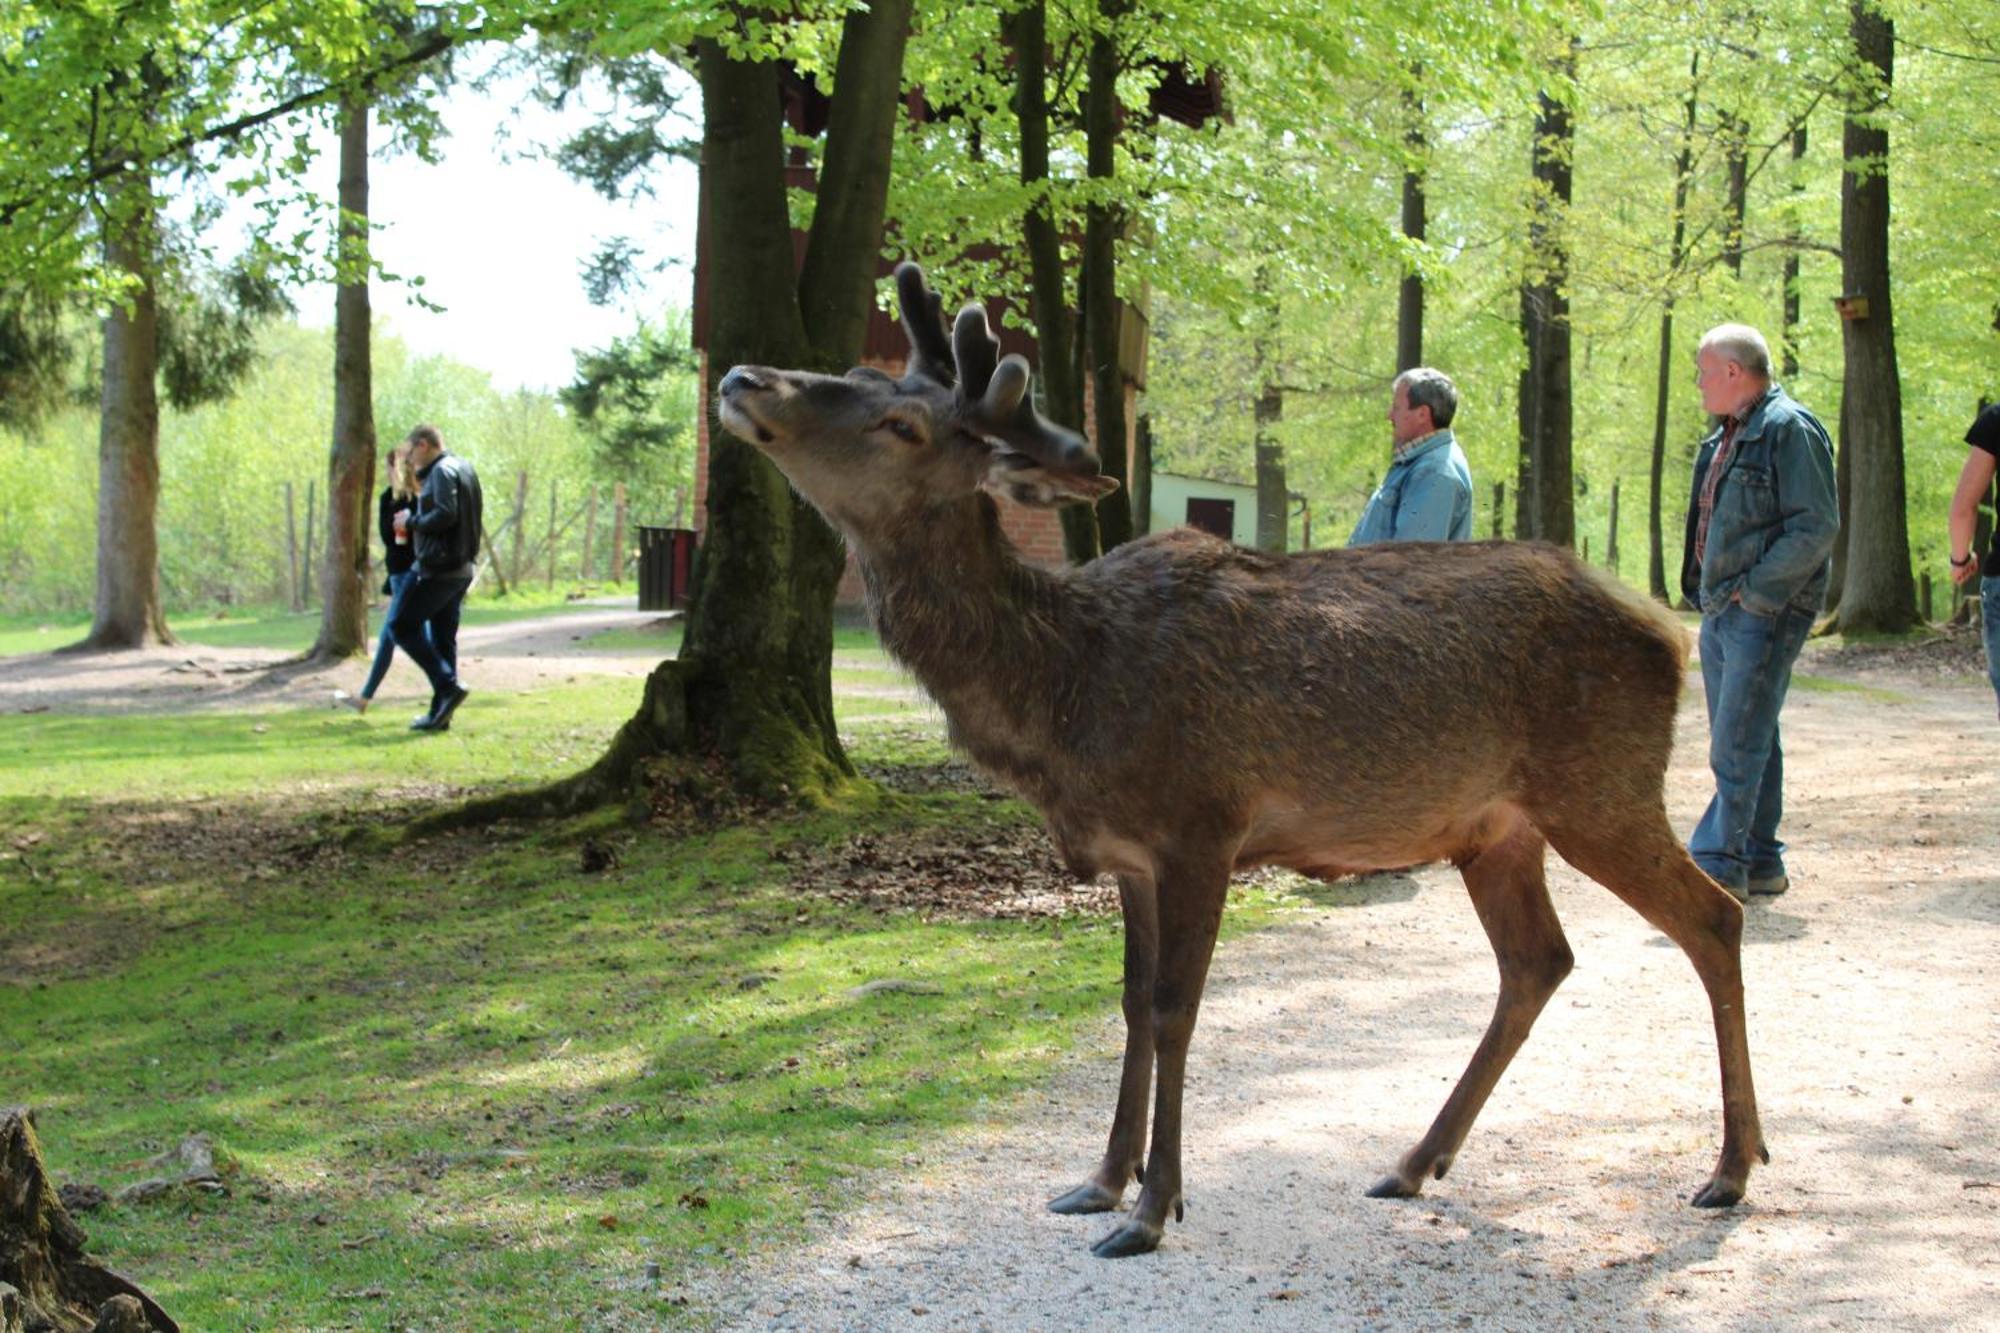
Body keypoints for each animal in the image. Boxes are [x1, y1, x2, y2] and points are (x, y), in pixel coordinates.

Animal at [720, 262, 1768, 1256]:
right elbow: (1131, 1003)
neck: (1065, 696)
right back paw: (1414, 1161)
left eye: (901, 422)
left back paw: (1734, 1165)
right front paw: (1098, 1180)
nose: (741, 377)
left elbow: (1177, 1006)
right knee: (1539, 960)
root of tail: (1668, 631)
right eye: (857, 375)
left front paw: (1153, 1209)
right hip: (1493, 828)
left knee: (1713, 916)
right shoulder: (1132, 855)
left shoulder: (1202, 823)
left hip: (1602, 787)